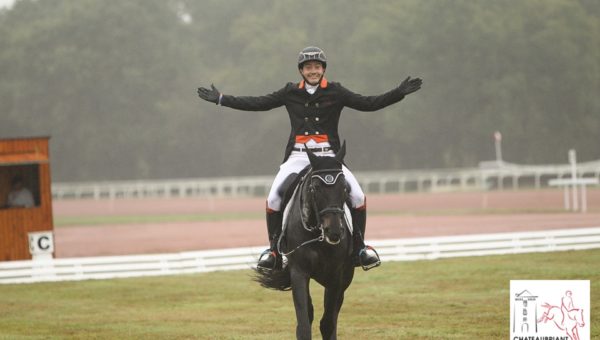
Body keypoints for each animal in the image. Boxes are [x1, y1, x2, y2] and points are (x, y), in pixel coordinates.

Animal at [255, 143, 354, 340]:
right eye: (315, 188)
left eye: (344, 188)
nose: (334, 231)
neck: (317, 233)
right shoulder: (299, 273)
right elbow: (304, 323)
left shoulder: (336, 276)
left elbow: (328, 323)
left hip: (345, 278)